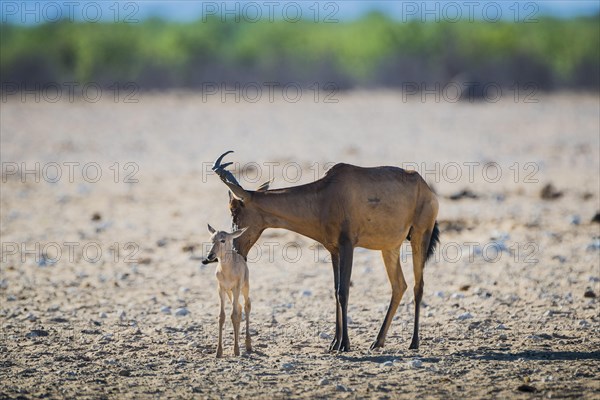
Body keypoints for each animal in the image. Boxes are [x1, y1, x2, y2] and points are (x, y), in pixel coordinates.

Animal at [205, 223, 252, 358]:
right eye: (211, 239)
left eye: (223, 240)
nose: (210, 256)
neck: (227, 270)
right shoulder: (221, 289)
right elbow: (222, 316)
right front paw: (218, 352)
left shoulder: (236, 288)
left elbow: (234, 315)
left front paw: (236, 350)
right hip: (229, 292)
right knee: (240, 307)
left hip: (244, 287)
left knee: (246, 305)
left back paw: (248, 345)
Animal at [209, 152, 438, 352]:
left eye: (235, 211)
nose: (236, 252)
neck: (326, 195)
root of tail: (425, 187)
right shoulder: (333, 251)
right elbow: (335, 292)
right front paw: (334, 343)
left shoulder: (348, 246)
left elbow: (343, 291)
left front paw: (344, 344)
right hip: (389, 247)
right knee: (399, 285)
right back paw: (377, 342)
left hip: (420, 236)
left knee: (418, 286)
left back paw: (414, 343)